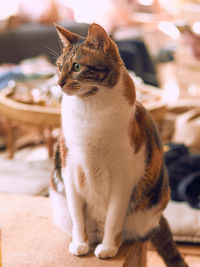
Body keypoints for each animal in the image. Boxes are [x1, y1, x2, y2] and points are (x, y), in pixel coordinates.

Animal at [49, 23, 188, 267]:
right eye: (59, 67)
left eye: (77, 67)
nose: (59, 83)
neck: (90, 109)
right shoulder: (70, 168)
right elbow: (77, 215)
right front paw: (80, 244)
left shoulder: (123, 176)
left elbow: (114, 217)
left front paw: (108, 248)